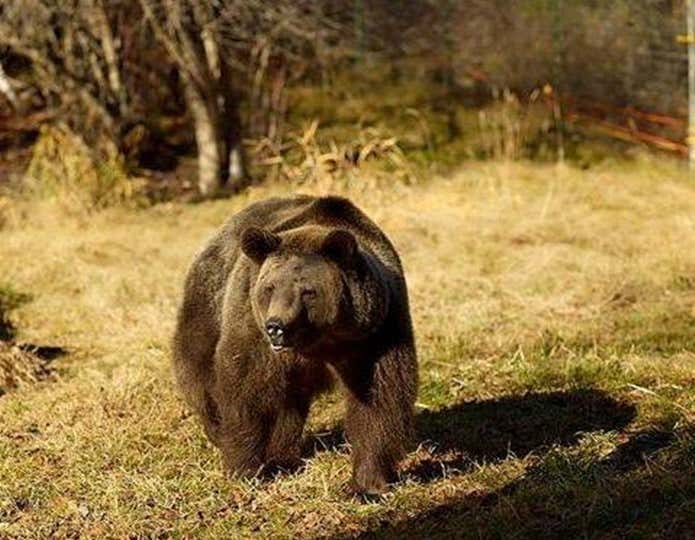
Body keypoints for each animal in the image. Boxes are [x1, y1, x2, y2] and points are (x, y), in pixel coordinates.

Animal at [173, 194, 418, 494]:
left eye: (307, 291)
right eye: (270, 287)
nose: (276, 327)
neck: (320, 341)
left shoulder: (374, 336)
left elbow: (378, 399)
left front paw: (367, 483)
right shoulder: (254, 334)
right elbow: (246, 391)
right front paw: (245, 469)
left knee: (288, 406)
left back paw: (283, 458)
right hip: (209, 305)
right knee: (201, 376)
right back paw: (222, 432)